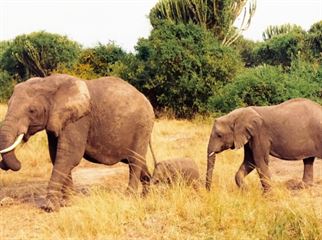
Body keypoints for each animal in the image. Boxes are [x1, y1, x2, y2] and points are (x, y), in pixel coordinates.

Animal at [0, 73, 155, 212]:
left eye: (32, 110)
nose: (5, 164)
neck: (48, 82)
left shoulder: (79, 119)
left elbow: (69, 155)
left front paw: (49, 207)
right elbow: (57, 156)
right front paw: (67, 203)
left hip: (143, 127)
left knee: (135, 161)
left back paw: (129, 197)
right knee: (138, 161)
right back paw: (146, 196)